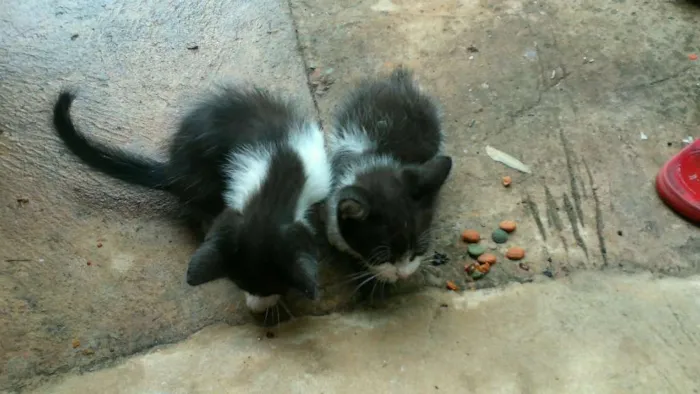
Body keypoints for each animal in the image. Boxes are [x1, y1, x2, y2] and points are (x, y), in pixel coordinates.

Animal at [52, 85, 330, 310]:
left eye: (276, 287)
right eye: (241, 286)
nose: (256, 306)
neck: (279, 180)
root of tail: (174, 170)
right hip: (203, 182)